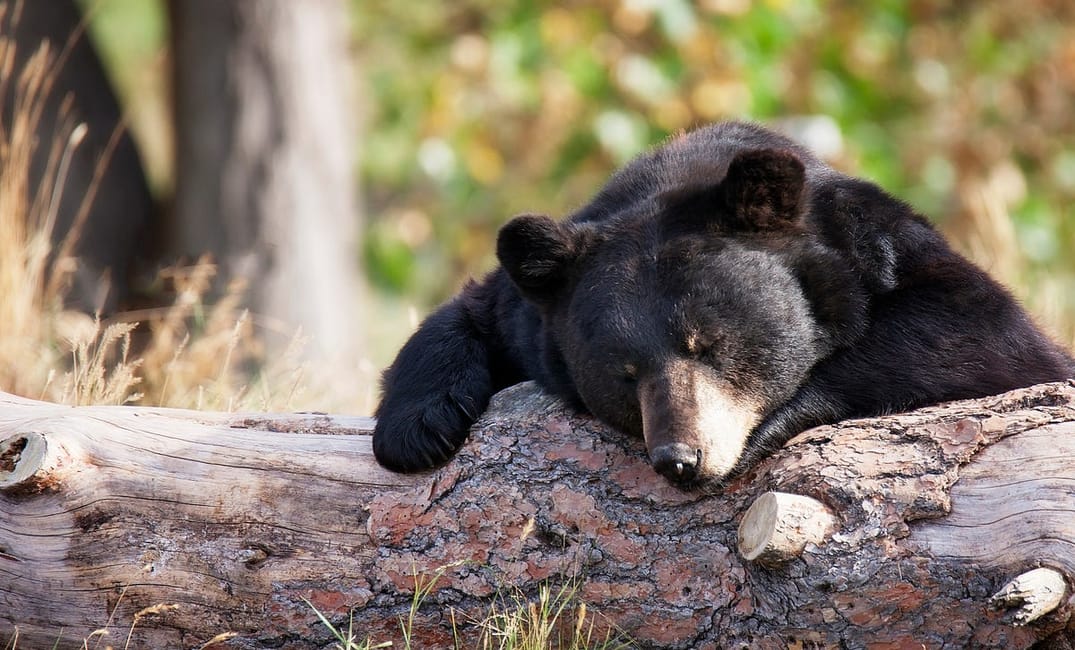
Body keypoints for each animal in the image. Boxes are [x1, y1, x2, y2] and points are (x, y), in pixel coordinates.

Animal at [372, 121, 1075, 488]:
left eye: (708, 344)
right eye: (624, 373)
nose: (680, 459)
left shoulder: (884, 248)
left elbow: (983, 334)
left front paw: (775, 416)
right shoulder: (532, 311)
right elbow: (467, 313)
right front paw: (415, 431)